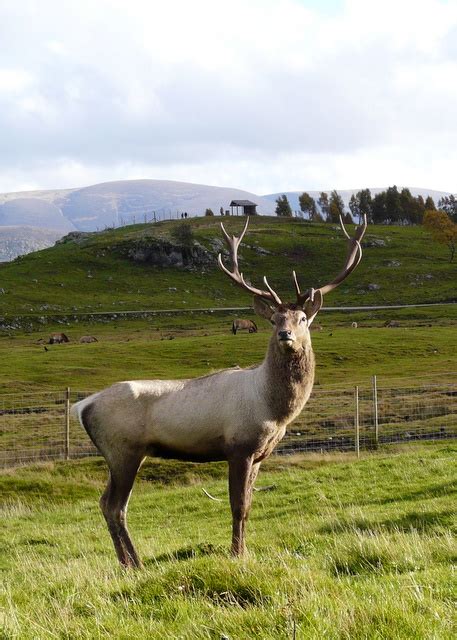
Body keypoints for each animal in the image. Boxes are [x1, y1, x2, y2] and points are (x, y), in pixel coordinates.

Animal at [72, 214, 366, 564]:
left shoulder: (260, 455)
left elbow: (249, 505)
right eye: (274, 320)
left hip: (124, 453)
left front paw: (244, 549)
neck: (274, 411)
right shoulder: (238, 446)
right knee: (114, 505)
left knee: (109, 504)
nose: (285, 335)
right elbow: (237, 506)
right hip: (122, 449)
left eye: (303, 318)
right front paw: (237, 554)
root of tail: (82, 406)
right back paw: (134, 563)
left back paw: (130, 562)